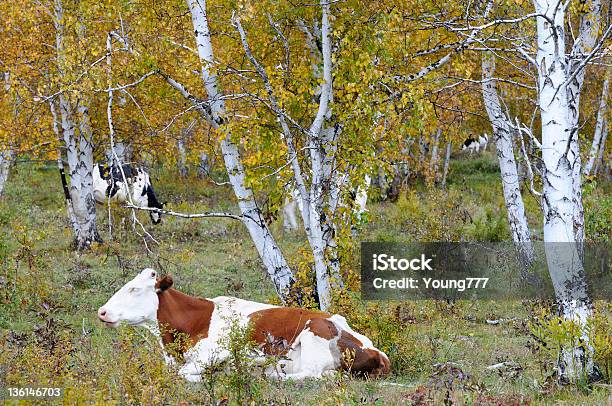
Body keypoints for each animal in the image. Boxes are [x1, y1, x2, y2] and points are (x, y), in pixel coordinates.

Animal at [98, 270, 390, 380]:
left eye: (134, 289)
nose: (102, 311)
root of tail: (377, 351)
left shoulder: (216, 352)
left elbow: (184, 374)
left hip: (313, 335)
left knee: (314, 374)